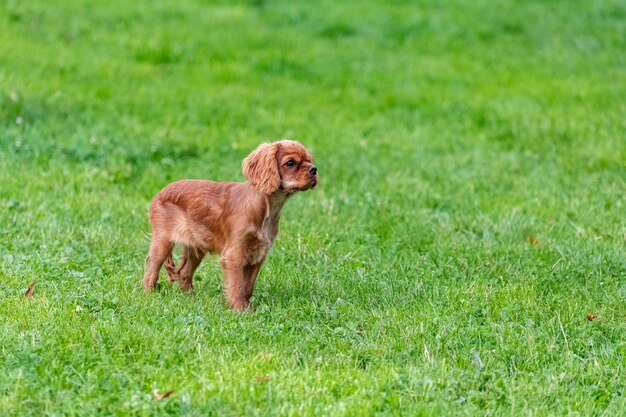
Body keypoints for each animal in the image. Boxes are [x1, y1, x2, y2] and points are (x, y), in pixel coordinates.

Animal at [142, 140, 316, 308]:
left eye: (309, 160)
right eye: (290, 163)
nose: (314, 169)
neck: (268, 208)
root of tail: (159, 193)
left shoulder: (258, 256)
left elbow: (248, 286)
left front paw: (247, 306)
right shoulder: (235, 255)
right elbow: (237, 286)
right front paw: (241, 309)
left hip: (196, 247)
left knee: (184, 272)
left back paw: (191, 297)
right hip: (162, 242)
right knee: (151, 267)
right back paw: (150, 294)